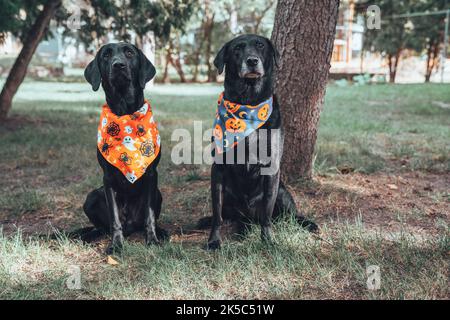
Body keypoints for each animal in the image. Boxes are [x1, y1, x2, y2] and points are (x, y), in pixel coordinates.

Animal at [82, 43, 165, 252]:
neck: (125, 112)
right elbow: (114, 219)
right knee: (102, 227)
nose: (118, 65)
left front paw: (152, 239)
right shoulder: (108, 179)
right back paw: (90, 235)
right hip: (91, 196)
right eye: (106, 55)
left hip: (158, 194)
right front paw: (116, 245)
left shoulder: (151, 174)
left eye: (129, 53)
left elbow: (150, 216)